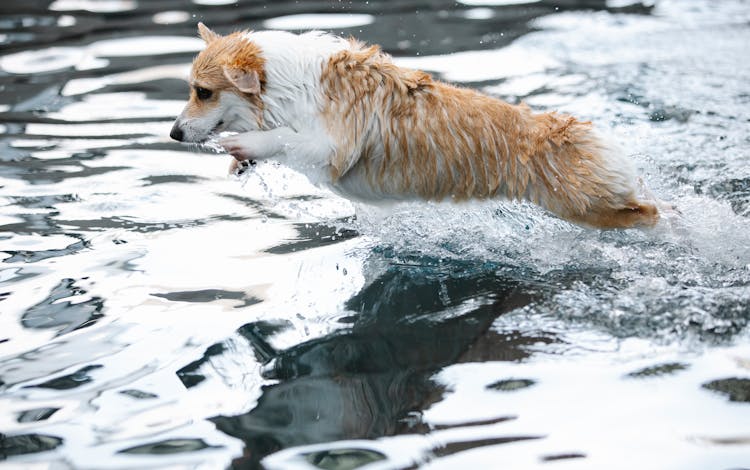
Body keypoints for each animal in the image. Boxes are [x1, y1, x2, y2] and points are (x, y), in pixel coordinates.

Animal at [170, 23, 664, 229]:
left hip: (588, 207)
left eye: (203, 92)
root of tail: (580, 127)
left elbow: (284, 139)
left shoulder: (332, 147)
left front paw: (246, 144)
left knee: (654, 214)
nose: (173, 134)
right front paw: (240, 161)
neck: (286, 82)